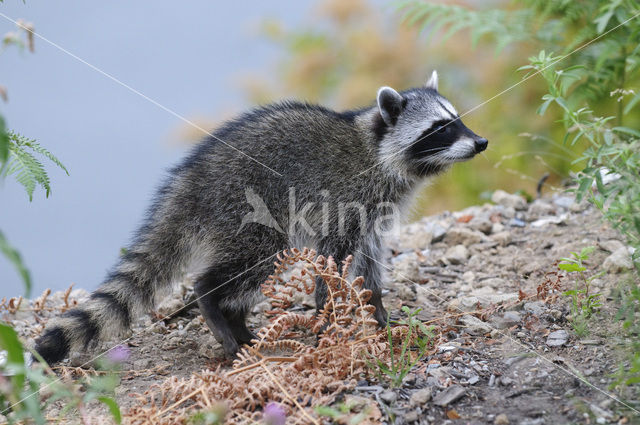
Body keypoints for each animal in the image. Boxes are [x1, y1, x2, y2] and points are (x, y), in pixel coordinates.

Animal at [33, 71, 484, 362]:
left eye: (457, 119)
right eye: (440, 127)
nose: (480, 142)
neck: (379, 149)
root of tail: (192, 179)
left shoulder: (373, 212)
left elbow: (370, 259)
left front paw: (377, 310)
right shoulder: (343, 201)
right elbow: (333, 261)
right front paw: (331, 316)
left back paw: (238, 321)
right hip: (248, 210)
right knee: (248, 263)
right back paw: (213, 303)